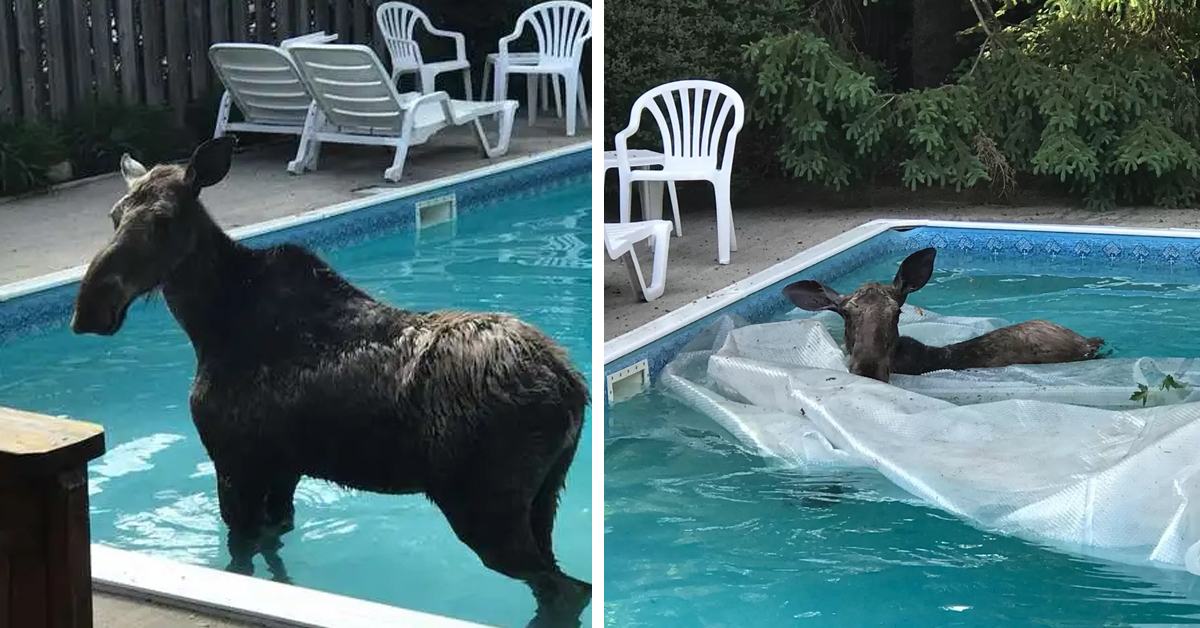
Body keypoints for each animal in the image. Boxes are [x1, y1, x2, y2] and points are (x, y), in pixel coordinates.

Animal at [69, 136, 585, 624]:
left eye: (163, 219)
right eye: (114, 216)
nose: (90, 309)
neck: (210, 324)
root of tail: (573, 390)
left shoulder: (234, 461)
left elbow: (241, 561)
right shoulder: (283, 467)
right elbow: (273, 547)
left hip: (484, 509)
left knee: (566, 589)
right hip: (543, 500)